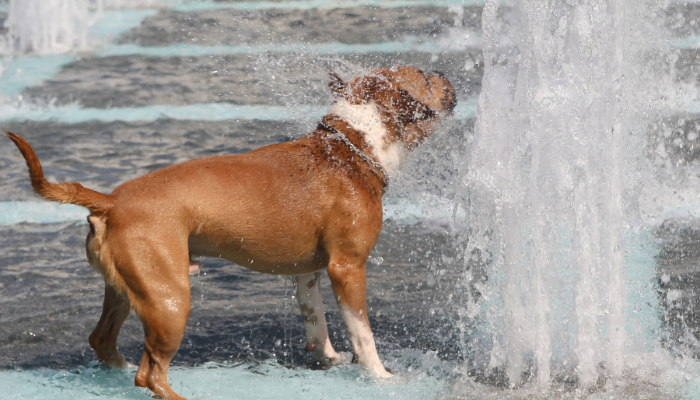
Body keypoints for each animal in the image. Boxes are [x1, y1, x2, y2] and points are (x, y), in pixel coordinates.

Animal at [8, 66, 456, 400]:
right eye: (424, 77)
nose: (443, 71)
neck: (351, 146)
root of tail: (111, 201)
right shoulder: (348, 269)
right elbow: (363, 333)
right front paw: (381, 377)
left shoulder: (307, 271)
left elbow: (316, 319)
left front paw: (327, 359)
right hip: (170, 299)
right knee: (150, 373)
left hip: (128, 287)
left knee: (104, 339)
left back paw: (118, 372)